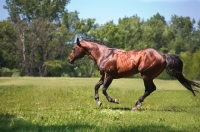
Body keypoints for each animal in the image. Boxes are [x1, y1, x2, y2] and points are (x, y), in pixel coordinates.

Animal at [67, 37, 200, 110]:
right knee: (150, 89)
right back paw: (137, 104)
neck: (104, 55)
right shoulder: (103, 75)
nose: (69, 59)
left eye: (74, 48)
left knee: (151, 88)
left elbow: (104, 89)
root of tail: (162, 56)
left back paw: (137, 105)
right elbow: (96, 86)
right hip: (148, 76)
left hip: (146, 75)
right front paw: (98, 102)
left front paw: (115, 100)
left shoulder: (109, 76)